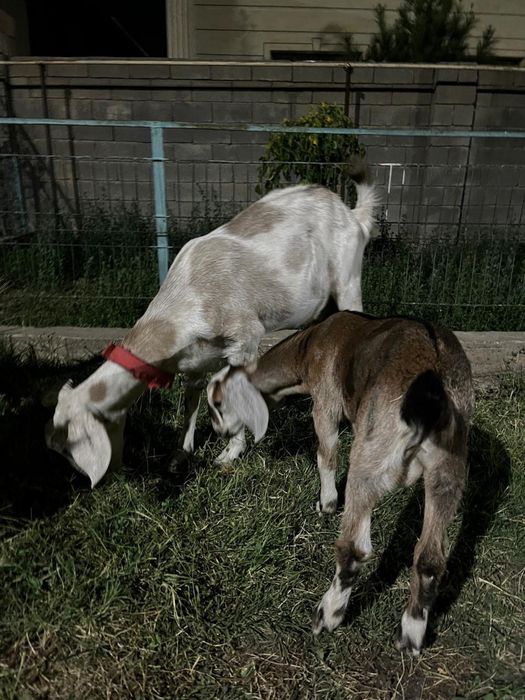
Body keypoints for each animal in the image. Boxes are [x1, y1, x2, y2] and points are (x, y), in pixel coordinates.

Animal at [46, 164, 379, 487]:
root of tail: (352, 215)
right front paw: (180, 456)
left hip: (348, 281)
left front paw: (229, 452)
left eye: (70, 446)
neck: (185, 298)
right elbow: (190, 402)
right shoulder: (193, 360)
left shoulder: (246, 338)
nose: (75, 485)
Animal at [207, 310, 474, 654]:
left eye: (218, 402)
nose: (218, 432)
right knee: (430, 559)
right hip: (448, 470)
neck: (309, 346)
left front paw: (327, 503)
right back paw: (410, 636)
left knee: (355, 548)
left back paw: (328, 615)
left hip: (370, 455)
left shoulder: (325, 403)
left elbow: (326, 454)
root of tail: (433, 392)